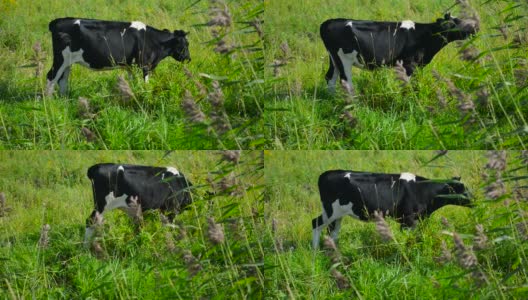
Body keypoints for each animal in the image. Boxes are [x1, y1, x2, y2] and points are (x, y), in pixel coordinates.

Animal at [45, 17, 190, 95]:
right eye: (185, 44)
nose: (189, 59)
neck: (153, 40)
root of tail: (57, 21)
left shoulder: (131, 67)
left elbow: (132, 83)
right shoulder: (145, 65)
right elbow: (145, 84)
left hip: (67, 62)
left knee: (63, 80)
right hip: (60, 59)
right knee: (51, 77)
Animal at [312, 170, 468, 250]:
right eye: (464, 190)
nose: (474, 200)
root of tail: (326, 174)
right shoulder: (408, 219)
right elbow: (407, 240)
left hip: (337, 214)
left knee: (333, 231)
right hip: (330, 211)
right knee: (316, 223)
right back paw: (315, 251)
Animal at [320, 12, 480, 91]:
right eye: (456, 22)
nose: (475, 28)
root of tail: (330, 21)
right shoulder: (409, 64)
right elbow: (407, 84)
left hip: (334, 59)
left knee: (330, 78)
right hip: (344, 59)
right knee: (346, 82)